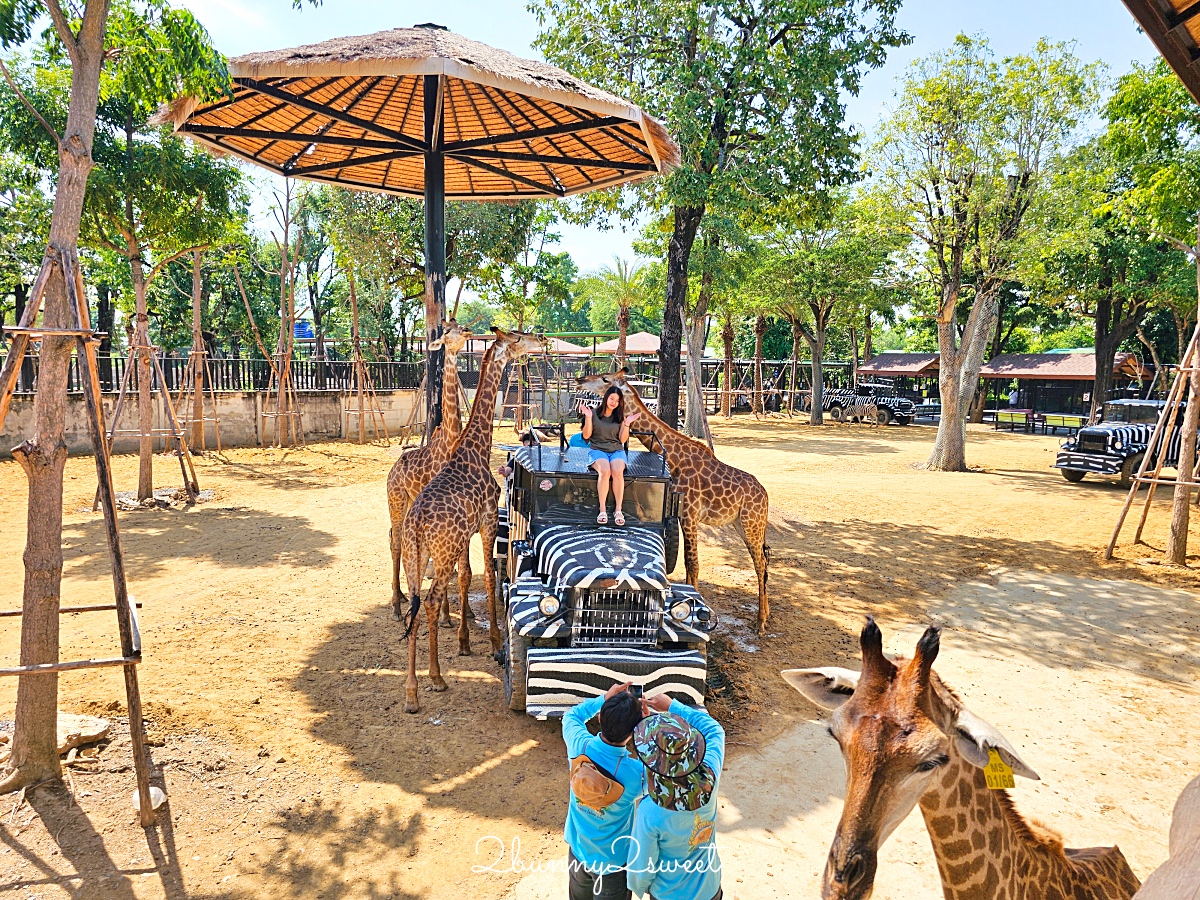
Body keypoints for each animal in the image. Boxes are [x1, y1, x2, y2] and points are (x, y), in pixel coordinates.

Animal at [388, 319, 472, 628]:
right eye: (447, 331)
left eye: (460, 325)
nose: (468, 332)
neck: (450, 441)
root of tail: (392, 470)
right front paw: (447, 616)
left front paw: (462, 613)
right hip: (396, 500)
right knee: (396, 540)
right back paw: (396, 605)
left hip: (411, 503)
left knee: (395, 537)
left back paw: (402, 596)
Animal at [398, 328, 544, 715]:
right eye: (518, 338)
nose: (540, 338)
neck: (475, 446)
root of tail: (417, 525)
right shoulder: (488, 518)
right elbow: (490, 577)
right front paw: (494, 640)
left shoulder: (469, 531)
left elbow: (469, 576)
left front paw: (467, 638)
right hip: (443, 549)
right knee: (430, 602)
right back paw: (436, 679)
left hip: (414, 556)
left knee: (415, 605)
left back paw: (412, 693)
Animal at [578, 369, 768, 628]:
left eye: (606, 380)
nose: (580, 380)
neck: (676, 460)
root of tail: (765, 496)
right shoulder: (682, 514)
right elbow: (689, 565)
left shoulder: (690, 514)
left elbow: (693, 564)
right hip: (742, 524)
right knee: (764, 561)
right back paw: (764, 616)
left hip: (751, 524)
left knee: (760, 563)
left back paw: (761, 623)